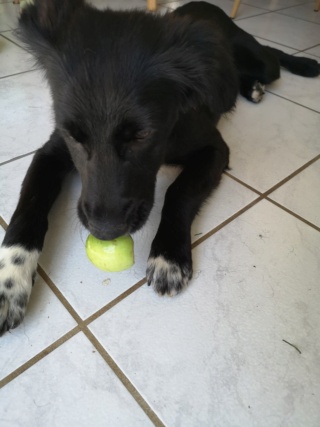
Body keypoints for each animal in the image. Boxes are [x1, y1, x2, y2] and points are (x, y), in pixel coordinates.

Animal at [0, 0, 320, 336]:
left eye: (142, 134)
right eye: (74, 135)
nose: (105, 232)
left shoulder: (215, 149)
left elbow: (179, 192)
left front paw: (169, 254)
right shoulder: (49, 153)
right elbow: (26, 208)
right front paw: (10, 281)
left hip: (260, 60)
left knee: (272, 55)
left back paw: (303, 64)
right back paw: (251, 88)